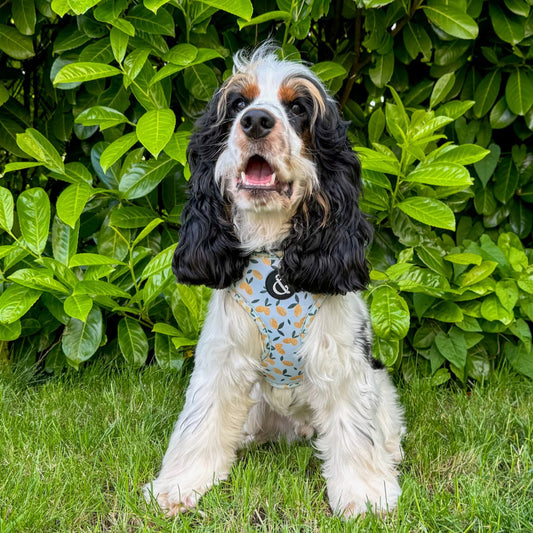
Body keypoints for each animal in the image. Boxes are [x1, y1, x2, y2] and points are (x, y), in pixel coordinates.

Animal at [143, 43, 406, 516]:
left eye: (298, 108)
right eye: (237, 104)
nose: (256, 121)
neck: (273, 252)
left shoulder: (342, 363)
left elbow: (355, 432)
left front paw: (365, 495)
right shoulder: (222, 356)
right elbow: (200, 421)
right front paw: (178, 486)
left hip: (380, 384)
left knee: (384, 425)